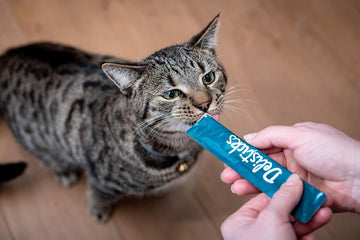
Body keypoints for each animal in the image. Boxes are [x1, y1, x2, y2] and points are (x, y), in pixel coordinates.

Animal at [0, 14, 225, 221]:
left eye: (208, 78)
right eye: (171, 94)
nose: (205, 103)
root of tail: (8, 56)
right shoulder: (101, 178)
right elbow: (99, 193)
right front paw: (98, 210)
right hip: (36, 140)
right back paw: (62, 172)